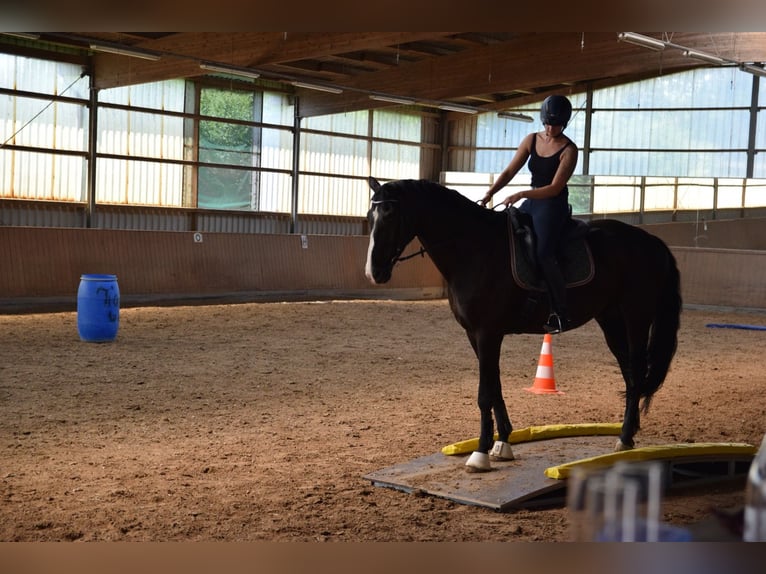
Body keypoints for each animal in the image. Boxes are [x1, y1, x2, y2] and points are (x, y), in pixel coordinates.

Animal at [366, 179, 684, 472]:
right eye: (370, 216)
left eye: (390, 215)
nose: (374, 273)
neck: (474, 247)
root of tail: (651, 242)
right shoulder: (475, 335)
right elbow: (494, 386)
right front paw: (503, 443)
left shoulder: (487, 333)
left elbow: (484, 393)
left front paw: (480, 453)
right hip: (610, 319)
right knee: (629, 373)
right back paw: (626, 437)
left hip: (636, 317)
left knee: (636, 371)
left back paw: (626, 437)